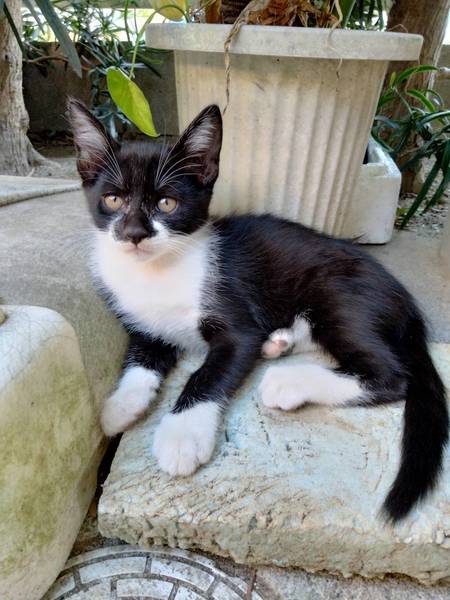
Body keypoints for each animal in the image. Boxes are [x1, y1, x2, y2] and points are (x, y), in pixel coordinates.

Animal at [68, 98, 448, 523]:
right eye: (112, 200)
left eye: (167, 203)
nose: (135, 233)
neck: (157, 272)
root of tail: (404, 298)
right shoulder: (145, 325)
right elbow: (140, 359)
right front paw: (122, 404)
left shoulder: (237, 323)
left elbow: (208, 372)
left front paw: (182, 434)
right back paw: (278, 343)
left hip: (339, 291)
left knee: (393, 376)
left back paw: (289, 382)